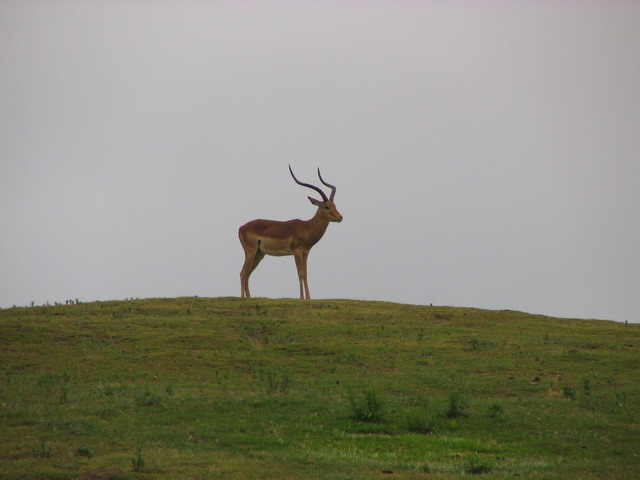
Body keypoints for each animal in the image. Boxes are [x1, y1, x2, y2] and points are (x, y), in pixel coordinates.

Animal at [238, 166, 343, 300]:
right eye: (326, 206)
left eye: (334, 205)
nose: (340, 217)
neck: (307, 227)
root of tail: (241, 227)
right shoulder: (297, 252)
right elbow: (300, 273)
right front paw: (302, 298)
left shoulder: (305, 253)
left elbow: (305, 273)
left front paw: (309, 299)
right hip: (250, 252)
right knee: (243, 273)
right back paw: (243, 299)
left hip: (259, 254)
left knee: (247, 274)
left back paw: (249, 298)